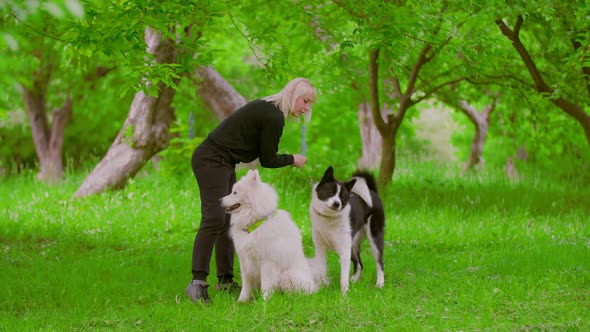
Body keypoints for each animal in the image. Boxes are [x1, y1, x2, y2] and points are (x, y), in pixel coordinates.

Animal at [221, 170, 320, 302]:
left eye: (235, 192)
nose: (219, 200)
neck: (255, 224)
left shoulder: (267, 262)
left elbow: (266, 285)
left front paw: (264, 302)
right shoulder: (245, 261)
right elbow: (246, 284)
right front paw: (241, 301)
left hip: (288, 275)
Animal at [310, 166, 388, 296]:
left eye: (342, 197)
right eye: (331, 193)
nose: (337, 204)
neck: (329, 218)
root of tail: (372, 191)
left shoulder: (344, 250)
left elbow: (343, 276)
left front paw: (344, 294)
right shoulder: (320, 249)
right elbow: (321, 270)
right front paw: (322, 288)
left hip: (374, 239)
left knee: (379, 263)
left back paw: (380, 284)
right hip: (352, 244)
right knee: (360, 264)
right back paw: (355, 280)